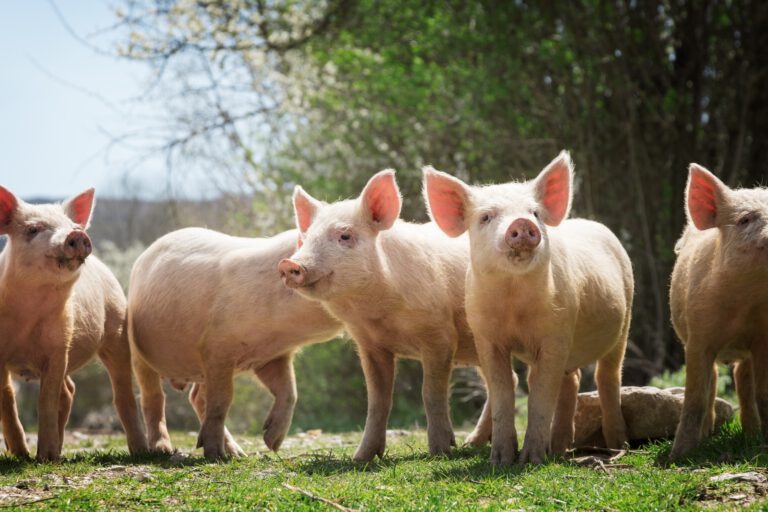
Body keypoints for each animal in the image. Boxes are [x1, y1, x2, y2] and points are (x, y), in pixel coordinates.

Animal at [0, 186, 147, 462]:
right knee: (69, 390)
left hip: (117, 329)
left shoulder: (59, 346)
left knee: (121, 394)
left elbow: (46, 400)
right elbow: (7, 397)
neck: (29, 317)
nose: (77, 234)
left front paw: (44, 458)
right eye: (33, 229)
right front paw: (21, 456)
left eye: (72, 225)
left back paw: (143, 452)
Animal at [128, 228, 342, 460]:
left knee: (196, 397)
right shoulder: (215, 346)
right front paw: (215, 456)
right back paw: (163, 450)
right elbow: (222, 400)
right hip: (138, 348)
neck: (282, 333)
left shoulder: (272, 356)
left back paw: (238, 454)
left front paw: (272, 443)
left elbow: (289, 391)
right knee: (153, 396)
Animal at [280, 170, 488, 462]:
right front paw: (361, 458)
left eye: (345, 236)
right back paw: (474, 444)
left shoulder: (440, 334)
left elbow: (430, 394)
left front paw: (441, 451)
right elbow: (377, 401)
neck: (378, 313)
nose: (290, 264)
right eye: (305, 239)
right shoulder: (370, 345)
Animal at [424, 151, 632, 464]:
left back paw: (618, 446)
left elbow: (541, 396)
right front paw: (500, 460)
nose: (522, 223)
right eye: (486, 217)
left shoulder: (558, 331)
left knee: (606, 376)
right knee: (572, 380)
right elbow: (502, 392)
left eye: (535, 213)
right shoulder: (486, 336)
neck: (514, 303)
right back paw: (559, 449)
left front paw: (531, 460)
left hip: (625, 317)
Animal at [664, 165, 768, 460]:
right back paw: (707, 436)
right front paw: (678, 457)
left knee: (742, 378)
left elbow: (763, 393)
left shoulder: (763, 338)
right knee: (713, 379)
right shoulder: (698, 337)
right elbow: (695, 396)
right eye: (745, 219)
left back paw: (752, 435)